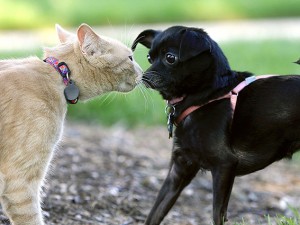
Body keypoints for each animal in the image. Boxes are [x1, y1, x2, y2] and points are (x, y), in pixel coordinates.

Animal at [132, 25, 300, 224]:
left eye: (170, 58)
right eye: (149, 58)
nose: (144, 77)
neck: (207, 96)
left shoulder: (224, 166)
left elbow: (217, 213)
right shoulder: (178, 170)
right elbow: (156, 212)